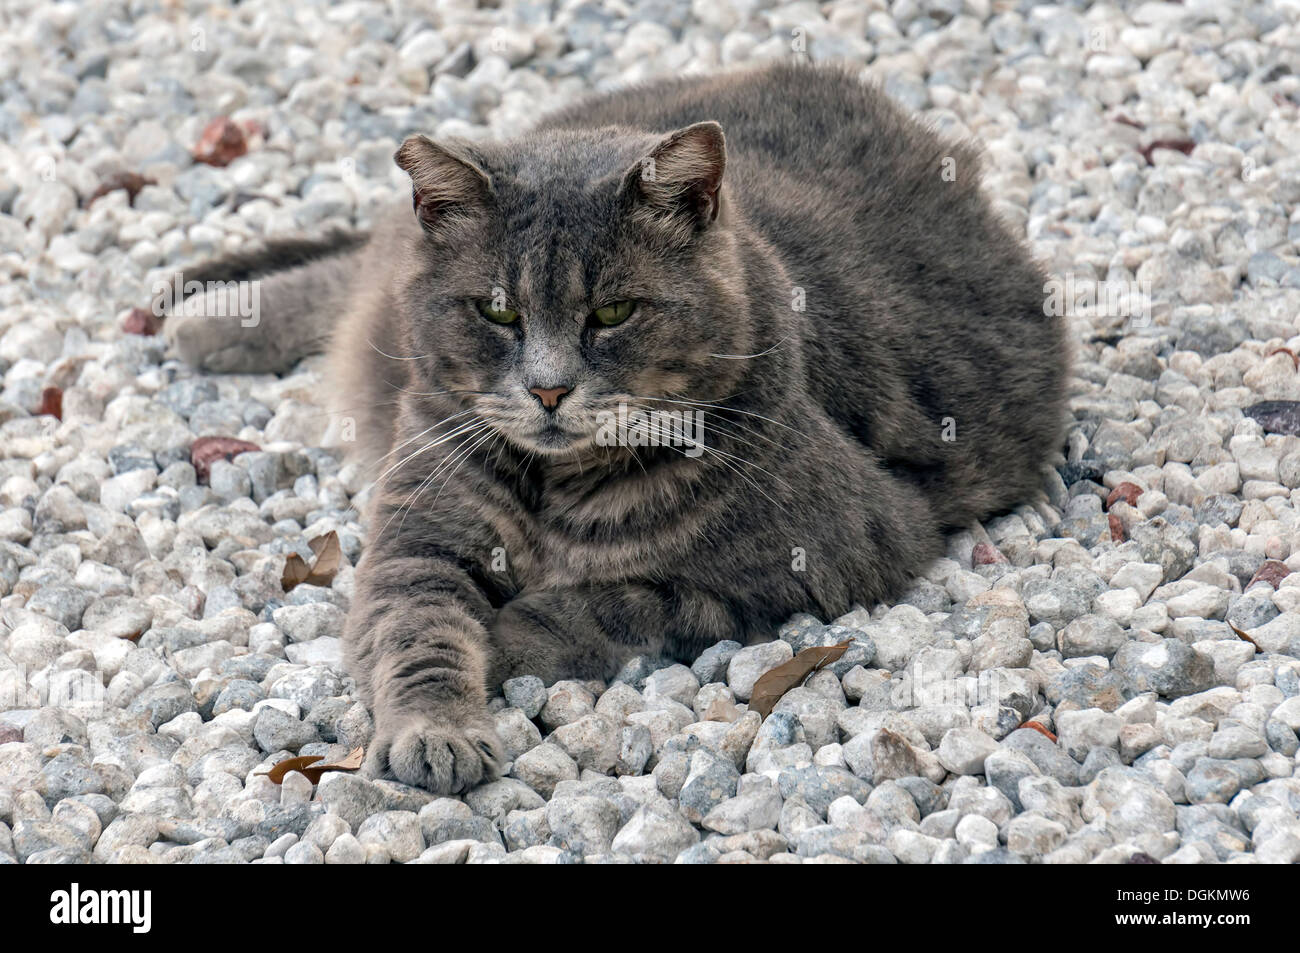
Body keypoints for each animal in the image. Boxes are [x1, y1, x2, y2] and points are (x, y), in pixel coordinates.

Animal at [167, 57, 1071, 790]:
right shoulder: (416, 541)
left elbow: (606, 606)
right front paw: (437, 733)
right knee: (356, 272)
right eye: (497, 311)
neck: (553, 484)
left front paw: (508, 630)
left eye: (612, 312)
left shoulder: (812, 562)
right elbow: (417, 633)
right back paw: (210, 318)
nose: (548, 389)